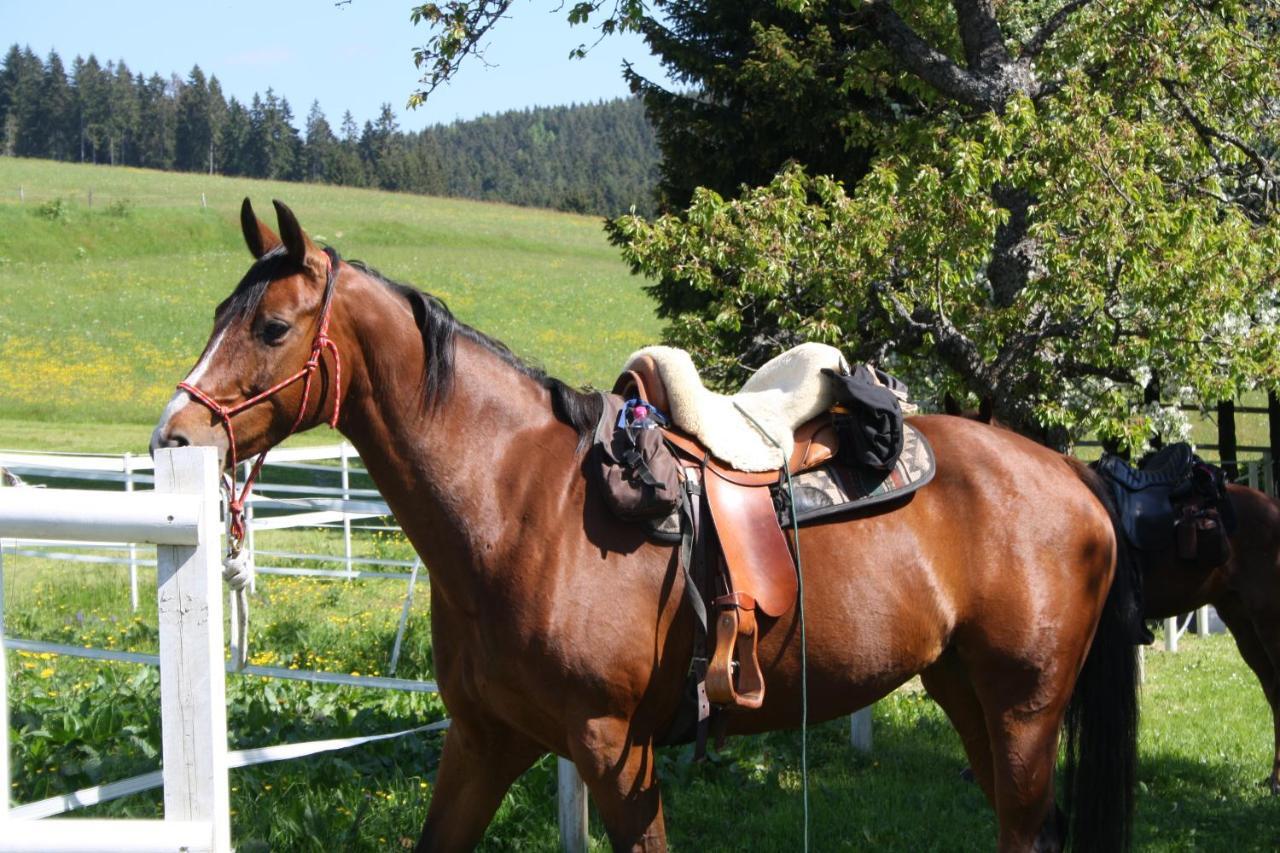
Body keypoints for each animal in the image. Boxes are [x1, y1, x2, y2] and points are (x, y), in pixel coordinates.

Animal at [152, 201, 1141, 850]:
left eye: (273, 326)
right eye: (219, 315)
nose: (175, 435)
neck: (519, 510)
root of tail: (1075, 473)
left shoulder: (614, 749)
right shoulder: (482, 741)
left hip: (1024, 708)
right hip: (964, 689)